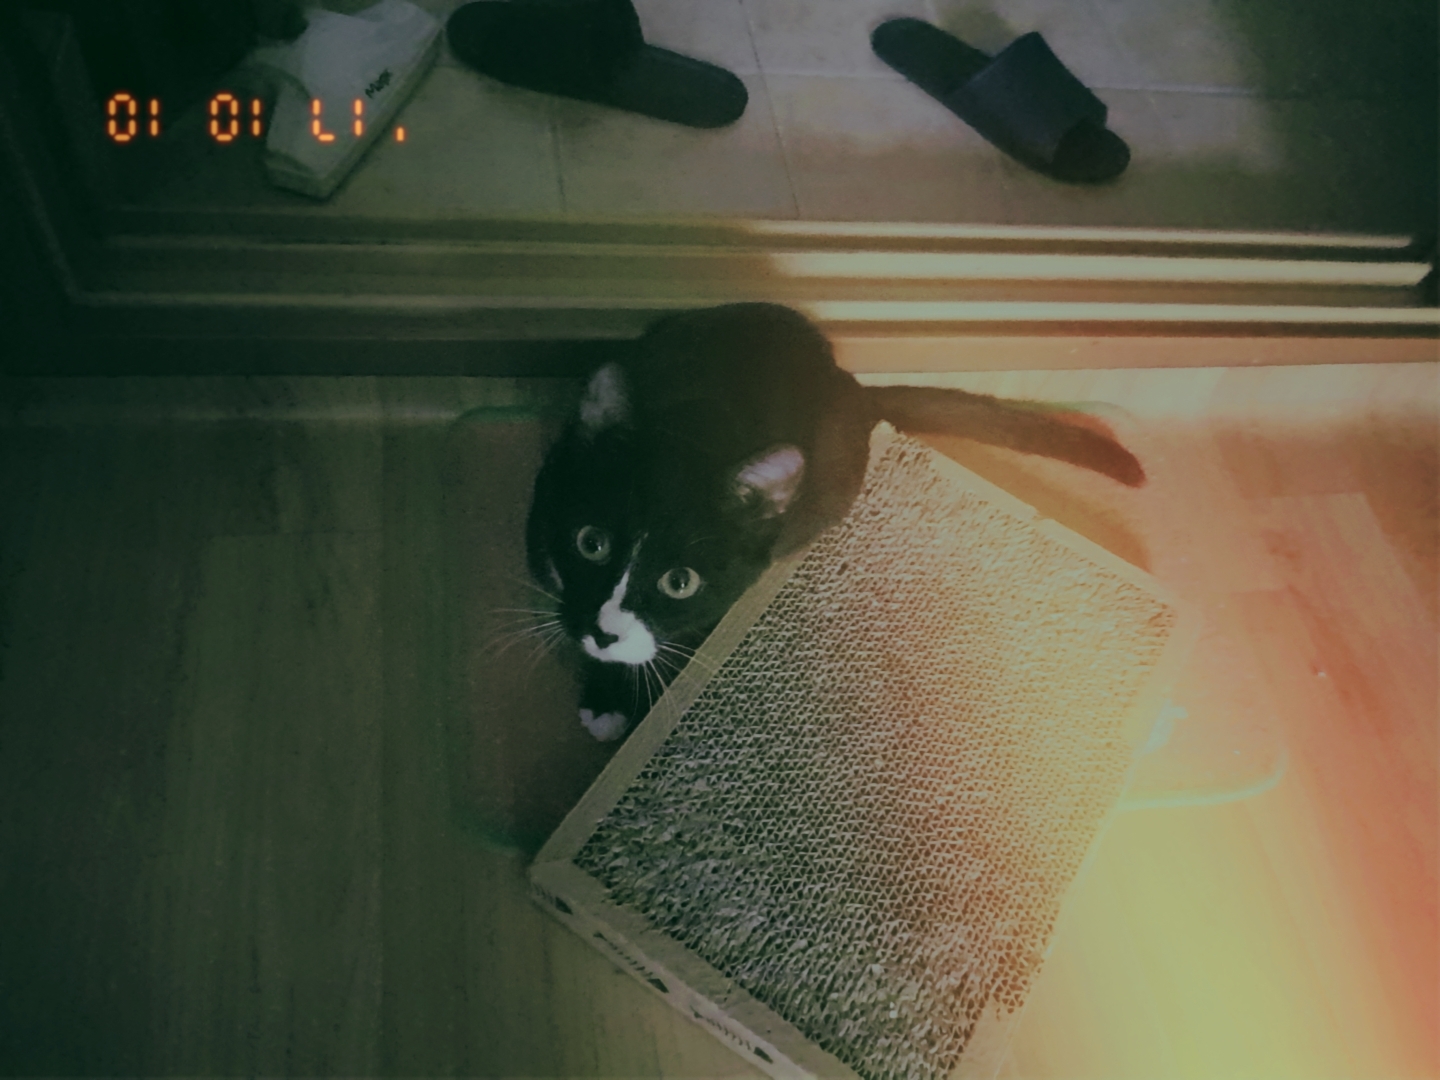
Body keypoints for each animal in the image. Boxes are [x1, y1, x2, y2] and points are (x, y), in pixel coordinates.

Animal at [525, 302, 1144, 742]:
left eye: (680, 582)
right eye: (590, 543)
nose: (603, 630)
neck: (697, 422)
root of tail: (851, 386)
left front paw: (618, 694)